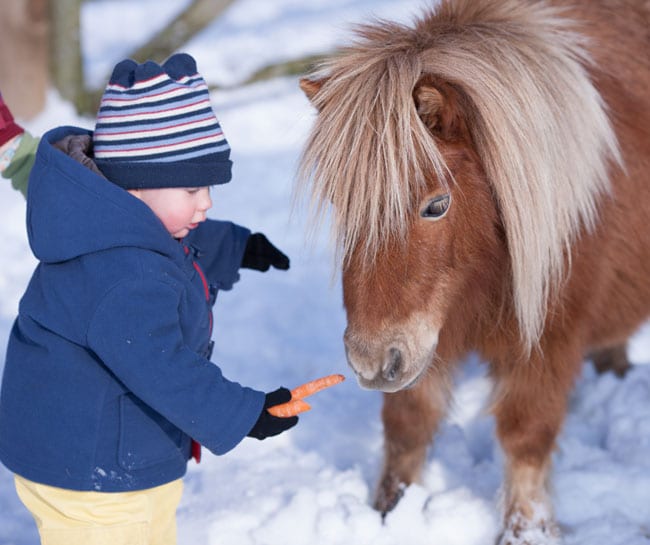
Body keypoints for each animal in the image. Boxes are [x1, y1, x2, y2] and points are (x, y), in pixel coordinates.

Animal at [296, 1, 650, 543]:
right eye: (341, 203)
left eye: (436, 205)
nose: (370, 362)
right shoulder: (425, 335)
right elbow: (407, 426)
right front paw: (387, 515)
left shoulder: (546, 340)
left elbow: (525, 438)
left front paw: (526, 532)